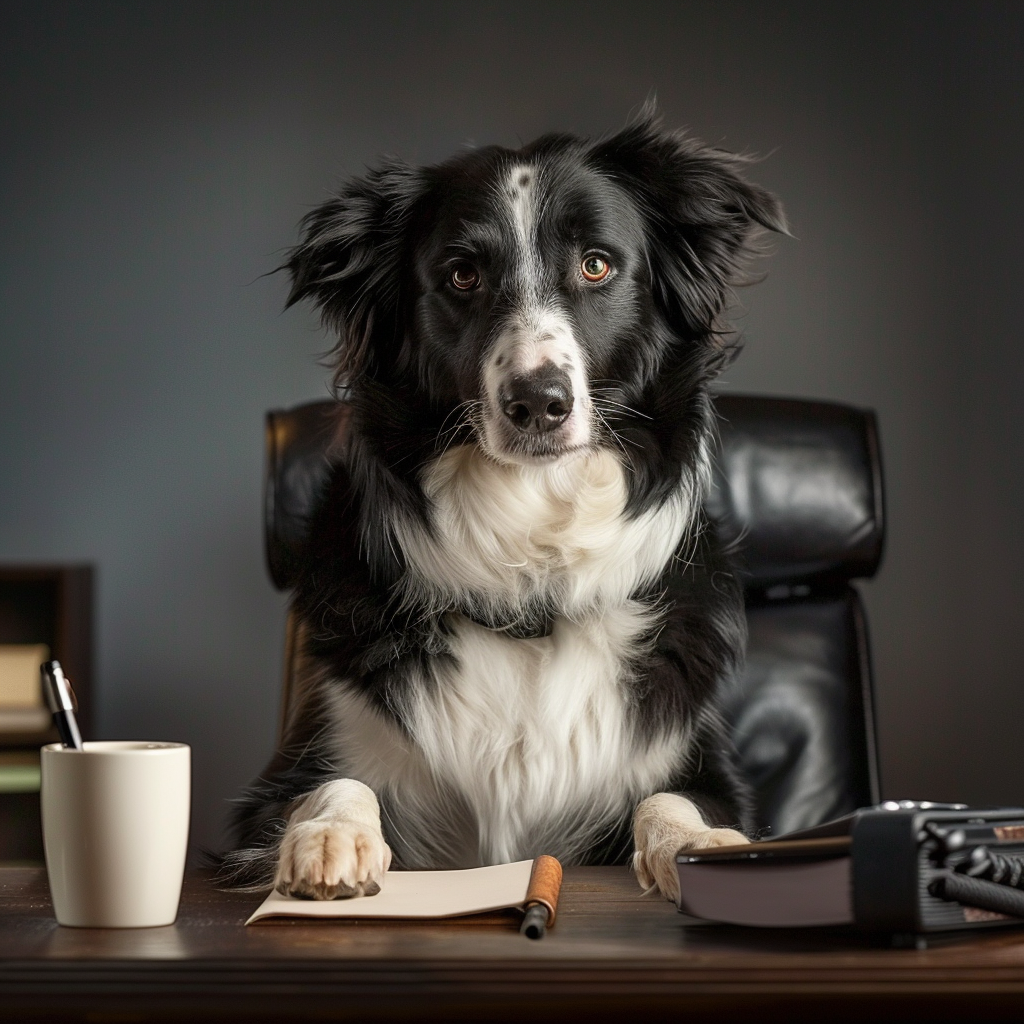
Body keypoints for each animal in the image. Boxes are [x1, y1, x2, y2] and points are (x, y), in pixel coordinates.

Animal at [224, 112, 782, 901]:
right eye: (463, 275)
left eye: (596, 265)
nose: (538, 403)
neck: (532, 576)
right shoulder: (288, 772)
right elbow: (337, 785)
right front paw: (332, 836)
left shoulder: (696, 761)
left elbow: (671, 798)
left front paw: (700, 843)